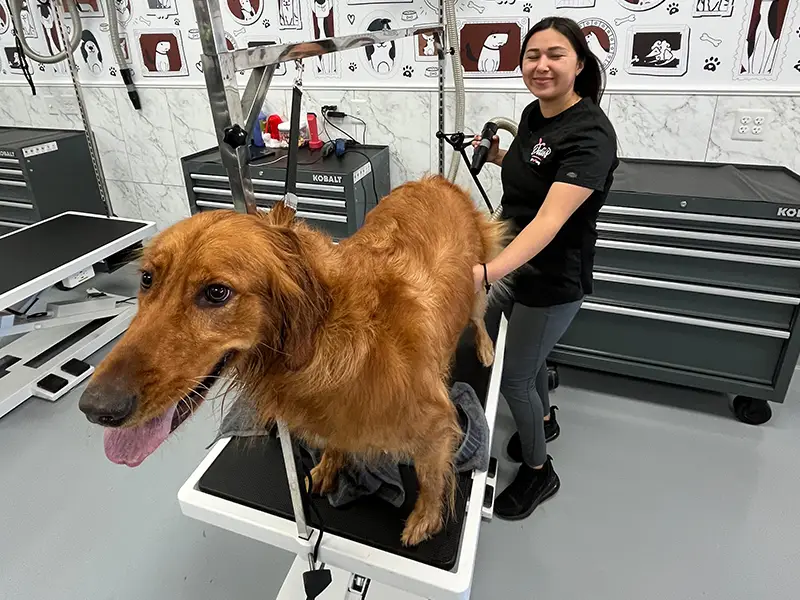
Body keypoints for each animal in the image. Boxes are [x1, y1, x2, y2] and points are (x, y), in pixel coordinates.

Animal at [79, 175, 506, 548]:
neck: (329, 334)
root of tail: (436, 179)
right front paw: (330, 465)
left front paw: (425, 519)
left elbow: (431, 478)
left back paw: (486, 348)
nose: (95, 408)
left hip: (476, 282)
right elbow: (337, 438)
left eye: (217, 292)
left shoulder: (437, 425)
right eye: (147, 279)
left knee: (478, 315)